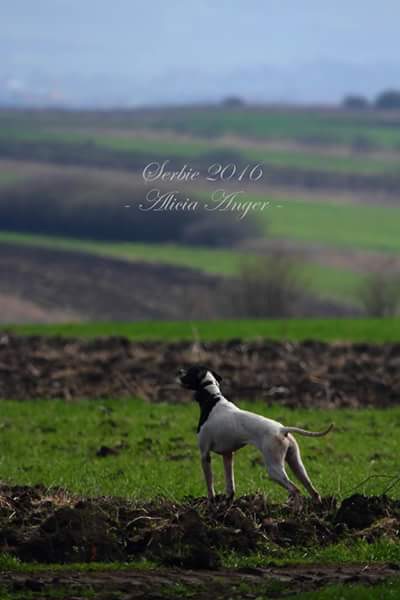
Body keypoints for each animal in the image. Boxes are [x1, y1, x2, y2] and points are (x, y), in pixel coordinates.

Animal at [180, 364, 332, 508]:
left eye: (189, 371)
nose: (179, 372)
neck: (212, 399)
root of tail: (282, 429)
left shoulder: (205, 455)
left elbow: (209, 486)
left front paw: (211, 504)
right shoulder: (228, 455)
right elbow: (230, 486)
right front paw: (227, 504)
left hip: (274, 469)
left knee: (296, 490)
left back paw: (295, 510)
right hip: (296, 464)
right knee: (313, 490)